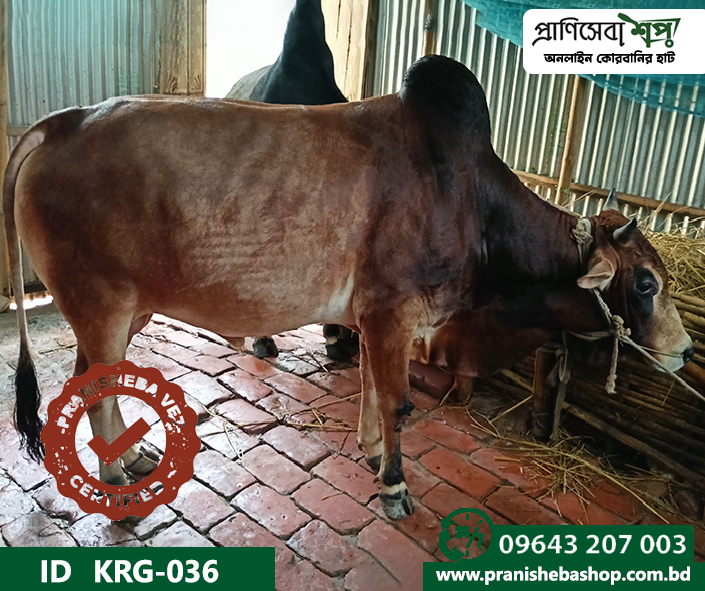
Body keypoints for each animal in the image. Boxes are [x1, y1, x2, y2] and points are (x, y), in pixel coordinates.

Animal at [4, 55, 693, 520]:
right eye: (647, 283)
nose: (684, 350)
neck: (470, 201)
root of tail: (62, 123)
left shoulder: (373, 317)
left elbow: (370, 390)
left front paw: (368, 452)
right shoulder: (394, 311)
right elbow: (399, 403)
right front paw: (394, 486)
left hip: (122, 312)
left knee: (91, 380)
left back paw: (126, 461)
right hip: (103, 305)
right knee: (93, 388)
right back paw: (118, 477)